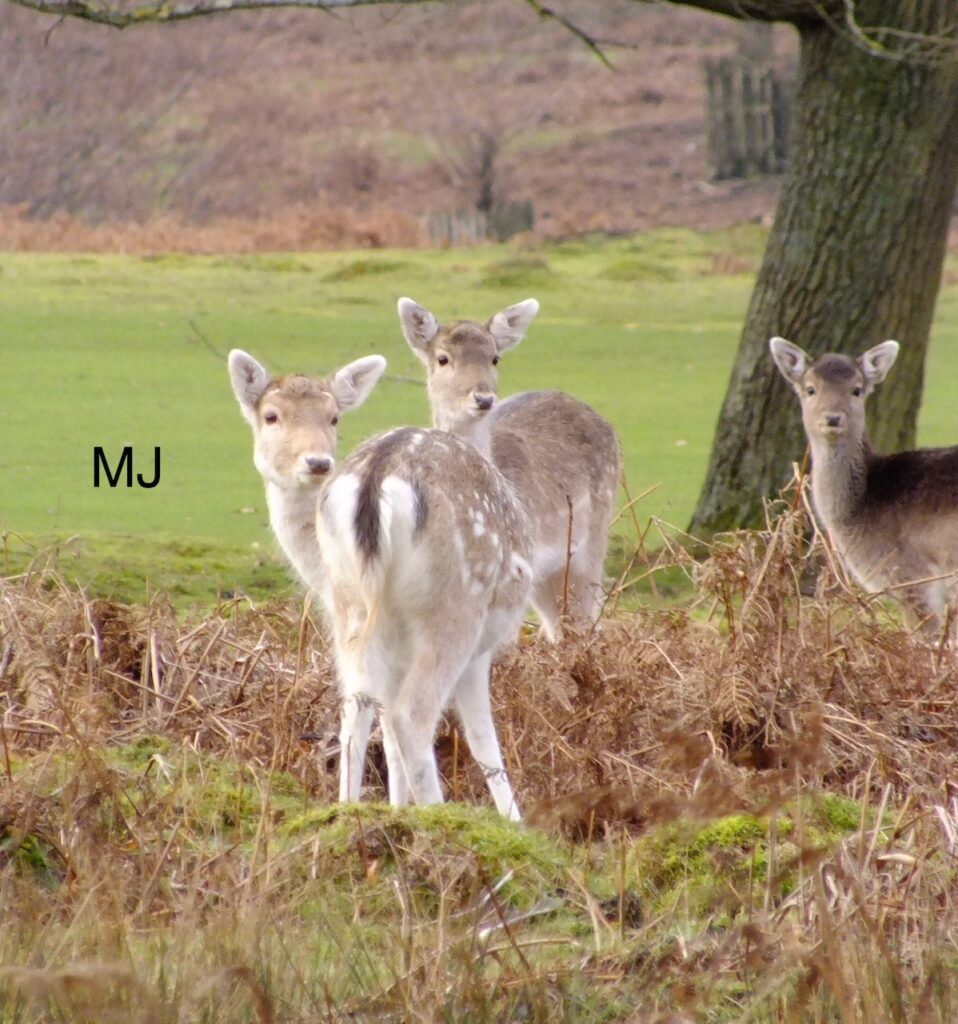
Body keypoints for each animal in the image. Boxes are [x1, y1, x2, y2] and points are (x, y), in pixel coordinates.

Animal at [229, 350, 531, 820]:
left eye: (334, 416)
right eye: (271, 415)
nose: (316, 462)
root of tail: (378, 477)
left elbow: (382, 728)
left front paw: (394, 809)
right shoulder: (483, 645)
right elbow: (484, 740)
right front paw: (514, 822)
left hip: (353, 607)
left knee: (355, 707)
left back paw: (346, 811)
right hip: (456, 606)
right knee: (411, 716)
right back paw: (435, 816)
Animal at [397, 297, 621, 641]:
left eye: (494, 358)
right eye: (443, 358)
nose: (483, 398)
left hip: (593, 537)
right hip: (546, 574)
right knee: (558, 625)